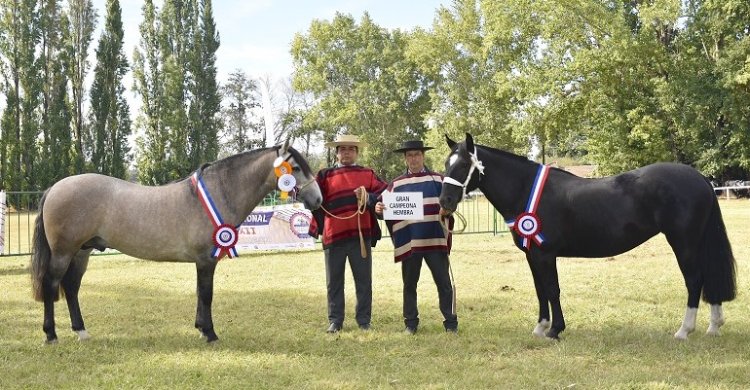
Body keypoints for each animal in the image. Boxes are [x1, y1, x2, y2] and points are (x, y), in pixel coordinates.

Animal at [30, 142, 324, 342]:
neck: (218, 193)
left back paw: (81, 331)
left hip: (82, 252)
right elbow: (206, 294)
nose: (318, 199)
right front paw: (210, 333)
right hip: (63, 253)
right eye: (296, 168)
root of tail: (54, 188)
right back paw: (51, 335)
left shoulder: (202, 261)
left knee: (71, 287)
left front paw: (201, 328)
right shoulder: (206, 260)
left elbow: (199, 293)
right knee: (52, 285)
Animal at [440, 133, 740, 338]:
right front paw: (541, 328)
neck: (527, 191)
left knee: (695, 280)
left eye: (464, 165)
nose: (445, 201)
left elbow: (552, 289)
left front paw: (555, 330)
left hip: (683, 242)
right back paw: (714, 327)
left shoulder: (545, 254)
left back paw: (684, 330)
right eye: (446, 163)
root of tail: (700, 178)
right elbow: (540, 290)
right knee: (708, 277)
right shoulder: (532, 255)